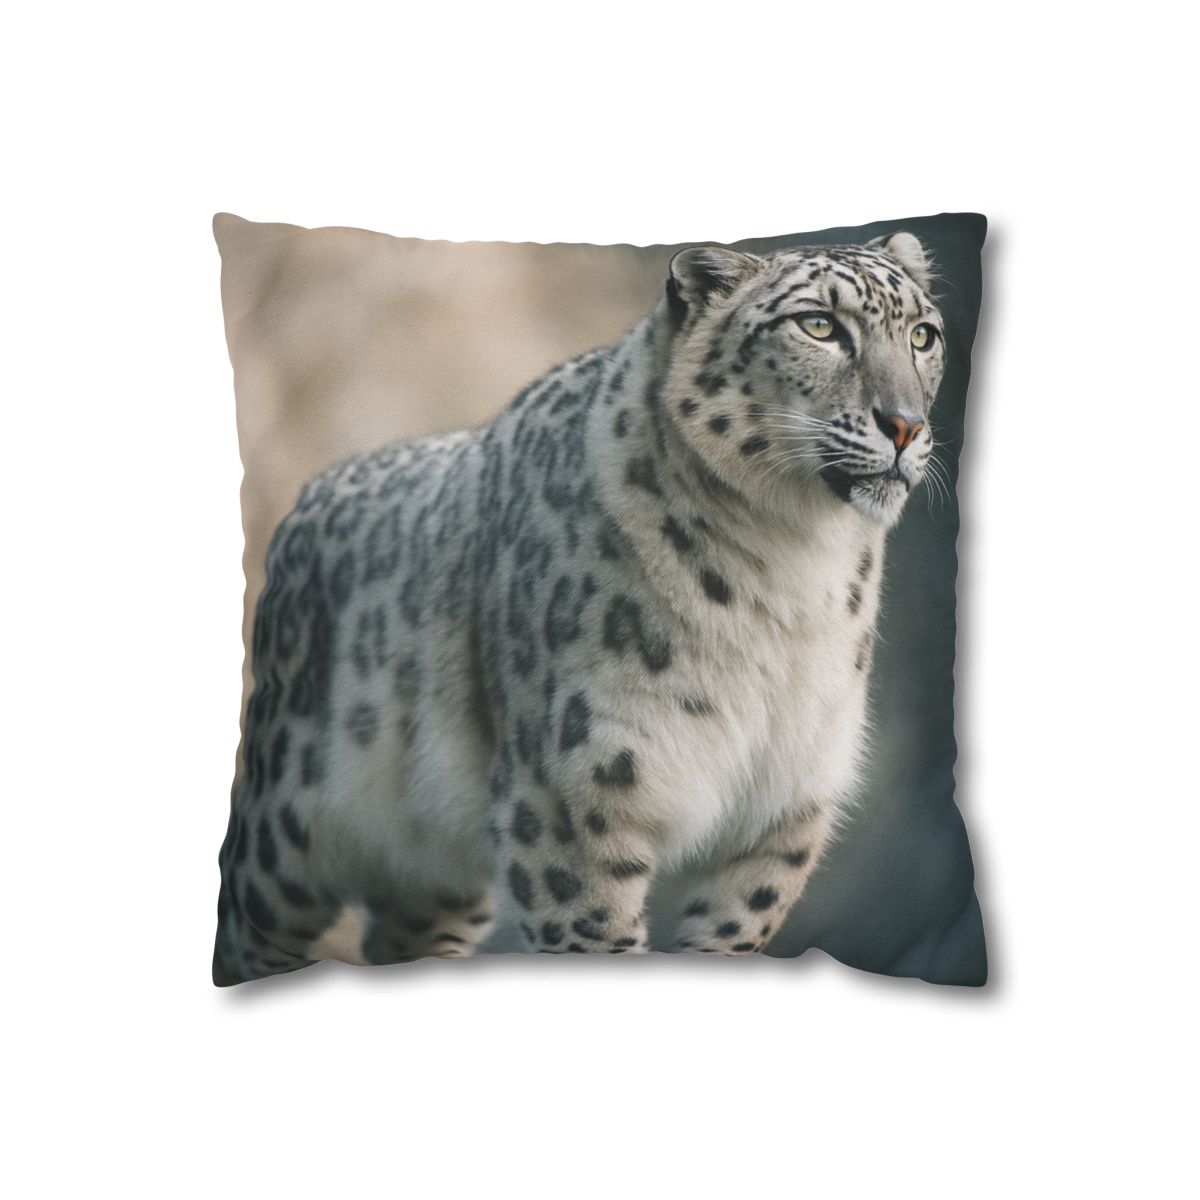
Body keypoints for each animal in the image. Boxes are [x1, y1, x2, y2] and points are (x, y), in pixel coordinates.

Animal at [213, 231, 946, 983]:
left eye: (923, 335)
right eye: (819, 325)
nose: (905, 424)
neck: (794, 567)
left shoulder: (781, 810)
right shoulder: (574, 800)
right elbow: (595, 935)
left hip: (435, 875)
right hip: (284, 835)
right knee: (247, 924)